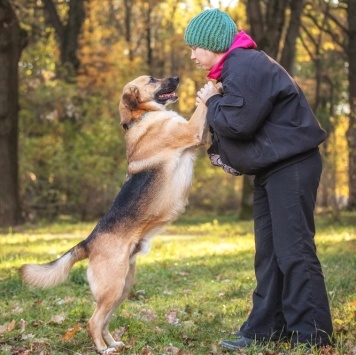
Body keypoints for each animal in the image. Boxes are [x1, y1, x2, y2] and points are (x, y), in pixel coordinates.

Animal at [19, 75, 207, 354]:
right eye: (153, 80)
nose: (176, 78)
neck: (140, 117)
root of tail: (88, 242)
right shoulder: (192, 131)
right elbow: (204, 106)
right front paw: (213, 87)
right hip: (113, 287)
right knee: (93, 321)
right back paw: (103, 348)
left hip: (122, 288)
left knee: (104, 321)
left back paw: (114, 343)